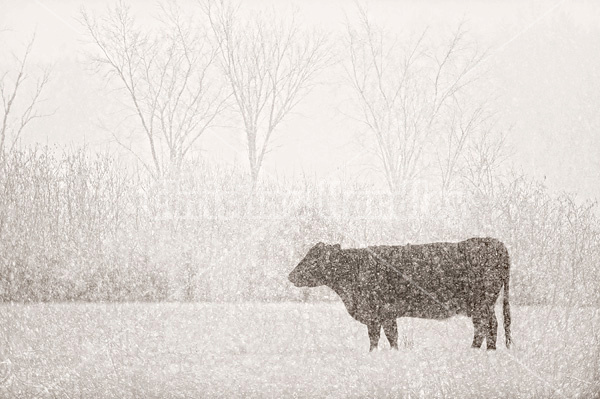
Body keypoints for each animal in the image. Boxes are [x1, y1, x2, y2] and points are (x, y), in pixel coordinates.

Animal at [290, 239, 510, 352]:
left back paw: (488, 351)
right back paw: (474, 350)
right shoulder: (387, 315)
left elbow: (376, 337)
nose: (290, 276)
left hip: (483, 303)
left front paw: (374, 354)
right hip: (477, 306)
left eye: (314, 259)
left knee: (490, 325)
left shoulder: (376, 313)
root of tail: (494, 243)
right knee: (482, 327)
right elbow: (391, 336)